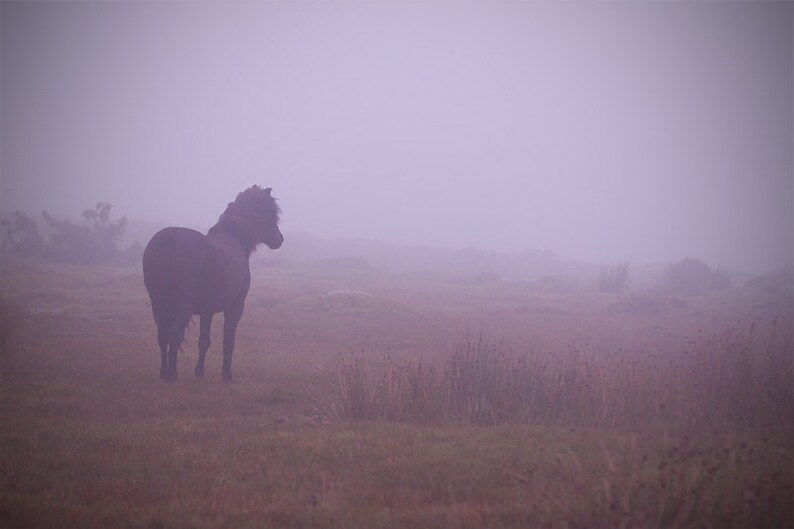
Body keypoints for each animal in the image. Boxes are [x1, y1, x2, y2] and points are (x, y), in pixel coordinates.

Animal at [142, 185, 283, 381]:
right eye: (270, 212)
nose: (279, 239)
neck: (234, 240)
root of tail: (165, 242)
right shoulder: (236, 307)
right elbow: (228, 341)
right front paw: (227, 375)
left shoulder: (206, 311)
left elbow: (204, 341)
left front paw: (199, 372)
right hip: (183, 306)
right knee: (174, 334)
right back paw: (172, 375)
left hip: (158, 303)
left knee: (162, 335)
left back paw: (164, 373)